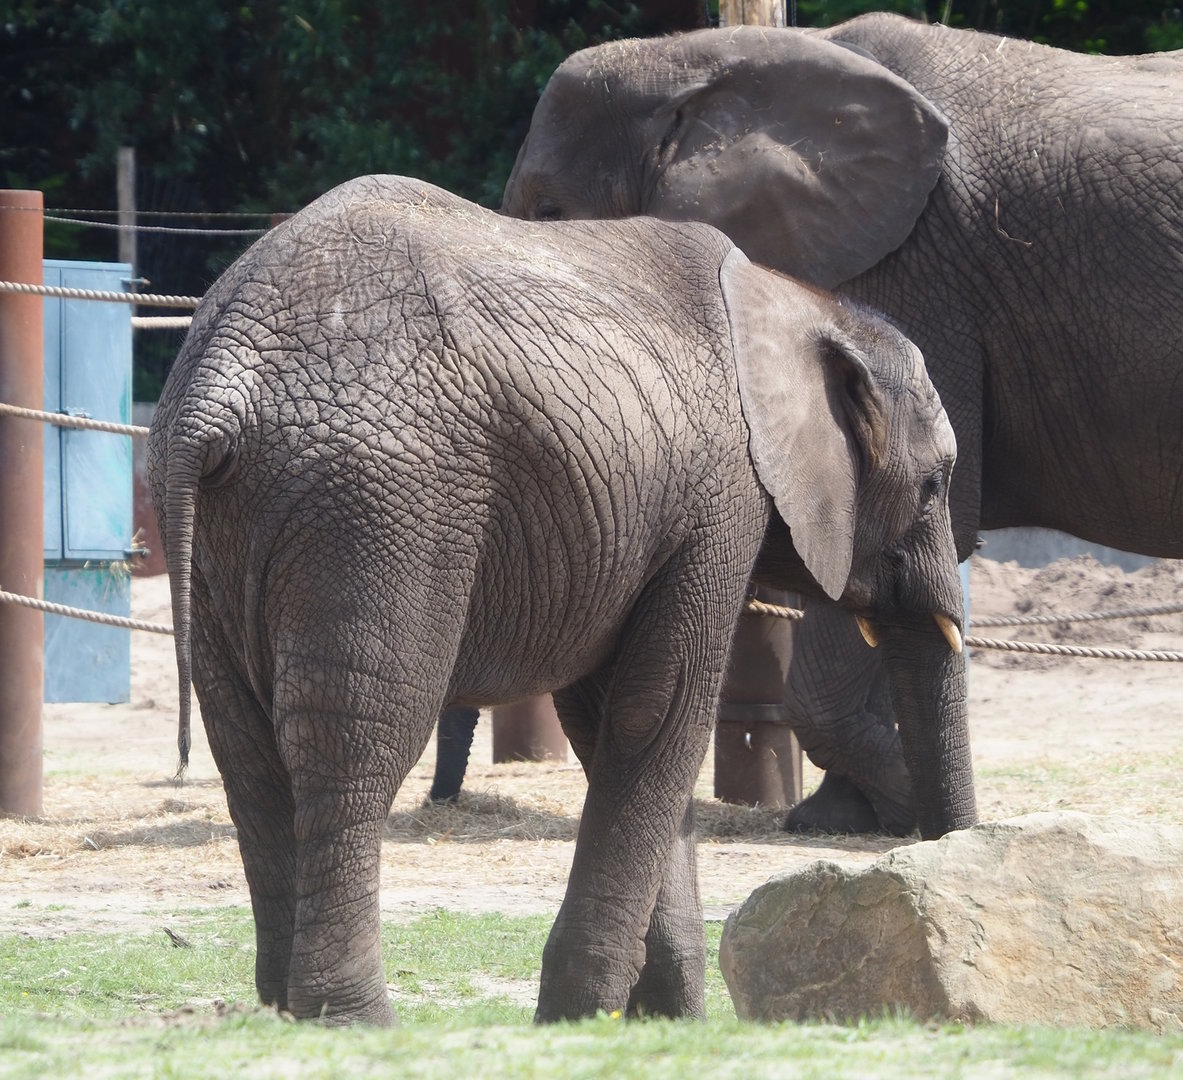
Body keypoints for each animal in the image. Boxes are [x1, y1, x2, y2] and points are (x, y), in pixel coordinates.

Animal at [148, 173, 970, 1025]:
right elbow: (661, 710)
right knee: (357, 740)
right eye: (934, 484)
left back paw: (284, 1012)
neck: (803, 305)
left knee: (247, 750)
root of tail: (217, 384)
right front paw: (586, 1013)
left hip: (230, 516)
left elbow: (613, 718)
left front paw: (656, 1018)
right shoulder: (720, 499)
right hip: (376, 500)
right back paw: (354, 1021)